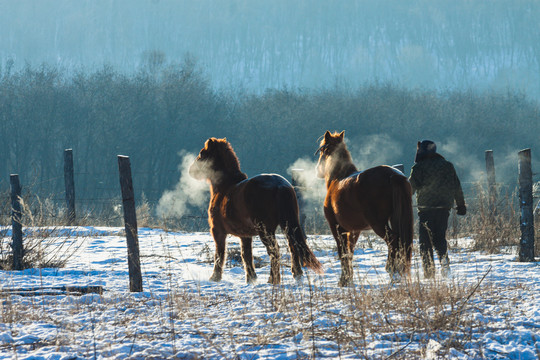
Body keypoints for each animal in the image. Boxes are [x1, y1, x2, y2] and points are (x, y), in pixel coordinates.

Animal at [190, 138, 322, 284]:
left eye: (202, 153)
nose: (190, 171)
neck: (224, 188)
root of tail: (280, 185)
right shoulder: (245, 235)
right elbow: (246, 255)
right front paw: (251, 279)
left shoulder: (218, 231)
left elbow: (219, 254)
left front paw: (215, 278)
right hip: (287, 226)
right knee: (293, 246)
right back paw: (296, 275)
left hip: (266, 230)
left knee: (275, 251)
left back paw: (273, 280)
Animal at [316, 131, 414, 286]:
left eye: (322, 150)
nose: (317, 171)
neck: (338, 178)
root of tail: (393, 175)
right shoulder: (354, 230)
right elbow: (350, 252)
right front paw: (348, 278)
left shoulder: (336, 227)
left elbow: (342, 252)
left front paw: (343, 280)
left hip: (378, 224)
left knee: (393, 240)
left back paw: (392, 270)